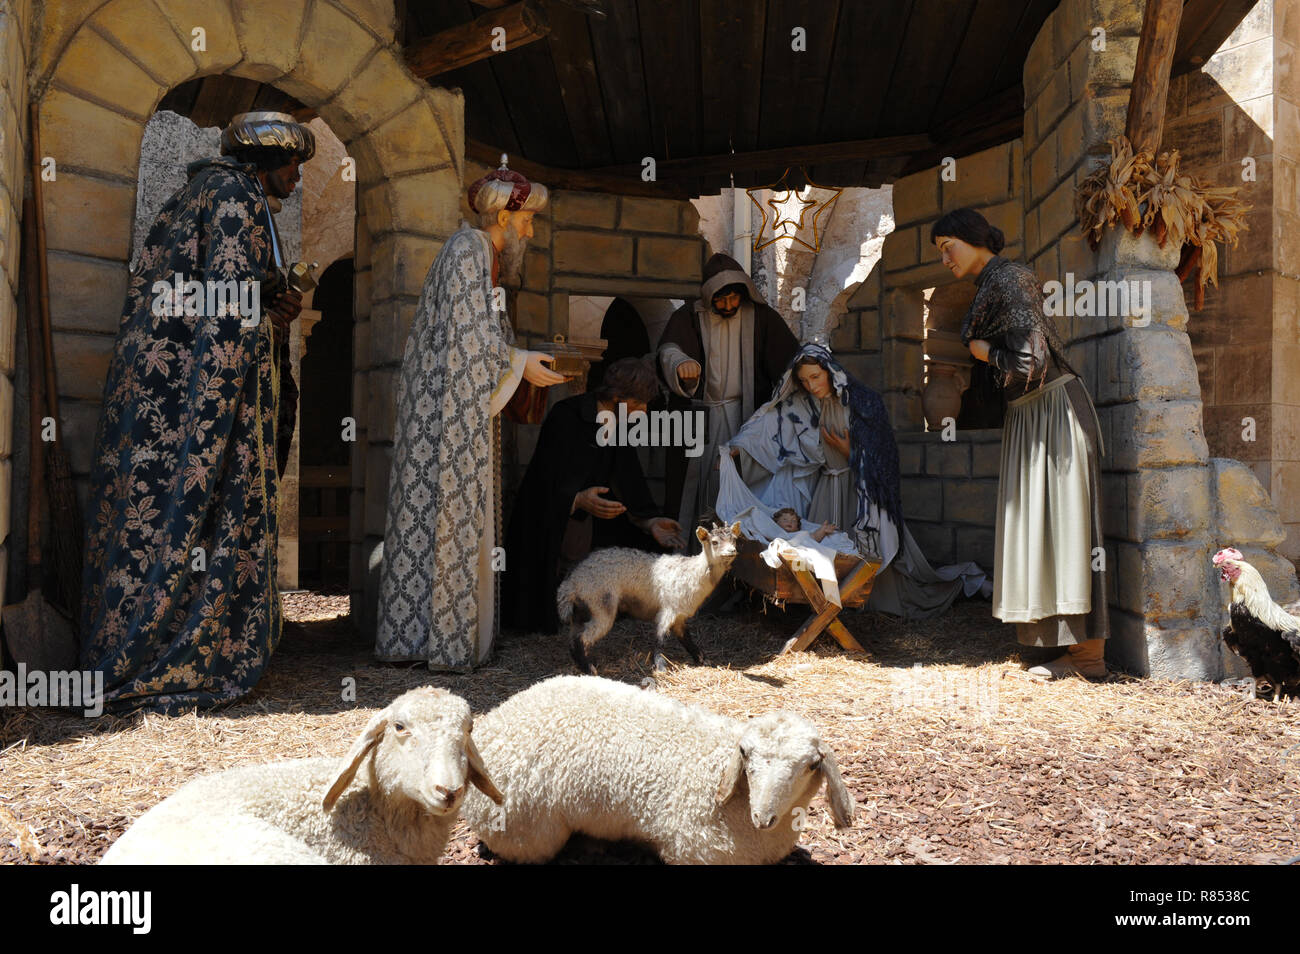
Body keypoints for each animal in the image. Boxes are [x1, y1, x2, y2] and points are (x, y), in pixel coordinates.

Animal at [559, 522, 743, 670]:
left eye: (735, 539)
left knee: (574, 636)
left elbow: (686, 638)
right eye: (714, 542)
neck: (692, 573)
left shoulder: (679, 616)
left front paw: (703, 660)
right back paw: (590, 668)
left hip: (581, 610)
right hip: (600, 603)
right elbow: (661, 638)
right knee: (583, 637)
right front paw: (660, 666)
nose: (732, 551)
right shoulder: (668, 610)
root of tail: (571, 583)